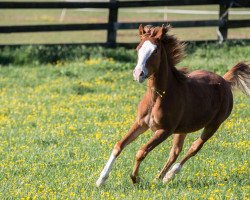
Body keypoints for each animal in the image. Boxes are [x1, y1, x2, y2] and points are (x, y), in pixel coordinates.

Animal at [96, 24, 250, 186]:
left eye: (155, 51)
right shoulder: (141, 123)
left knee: (194, 148)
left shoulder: (165, 130)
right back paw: (159, 178)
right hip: (183, 128)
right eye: (138, 48)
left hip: (213, 125)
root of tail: (225, 81)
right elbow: (119, 145)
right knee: (175, 152)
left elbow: (141, 152)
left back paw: (170, 175)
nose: (138, 74)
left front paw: (135, 178)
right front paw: (101, 180)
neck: (157, 98)